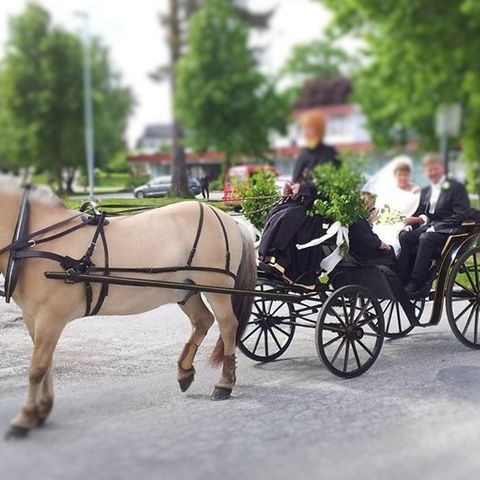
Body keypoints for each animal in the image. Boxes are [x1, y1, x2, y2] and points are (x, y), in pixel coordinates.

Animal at [0, 177, 256, 438]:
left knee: (228, 326)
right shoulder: (34, 319)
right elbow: (46, 365)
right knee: (202, 320)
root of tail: (229, 219)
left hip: (217, 289)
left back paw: (224, 383)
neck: (33, 241)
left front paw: (25, 418)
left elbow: (37, 369)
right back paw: (184, 371)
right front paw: (42, 409)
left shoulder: (50, 319)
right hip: (185, 290)